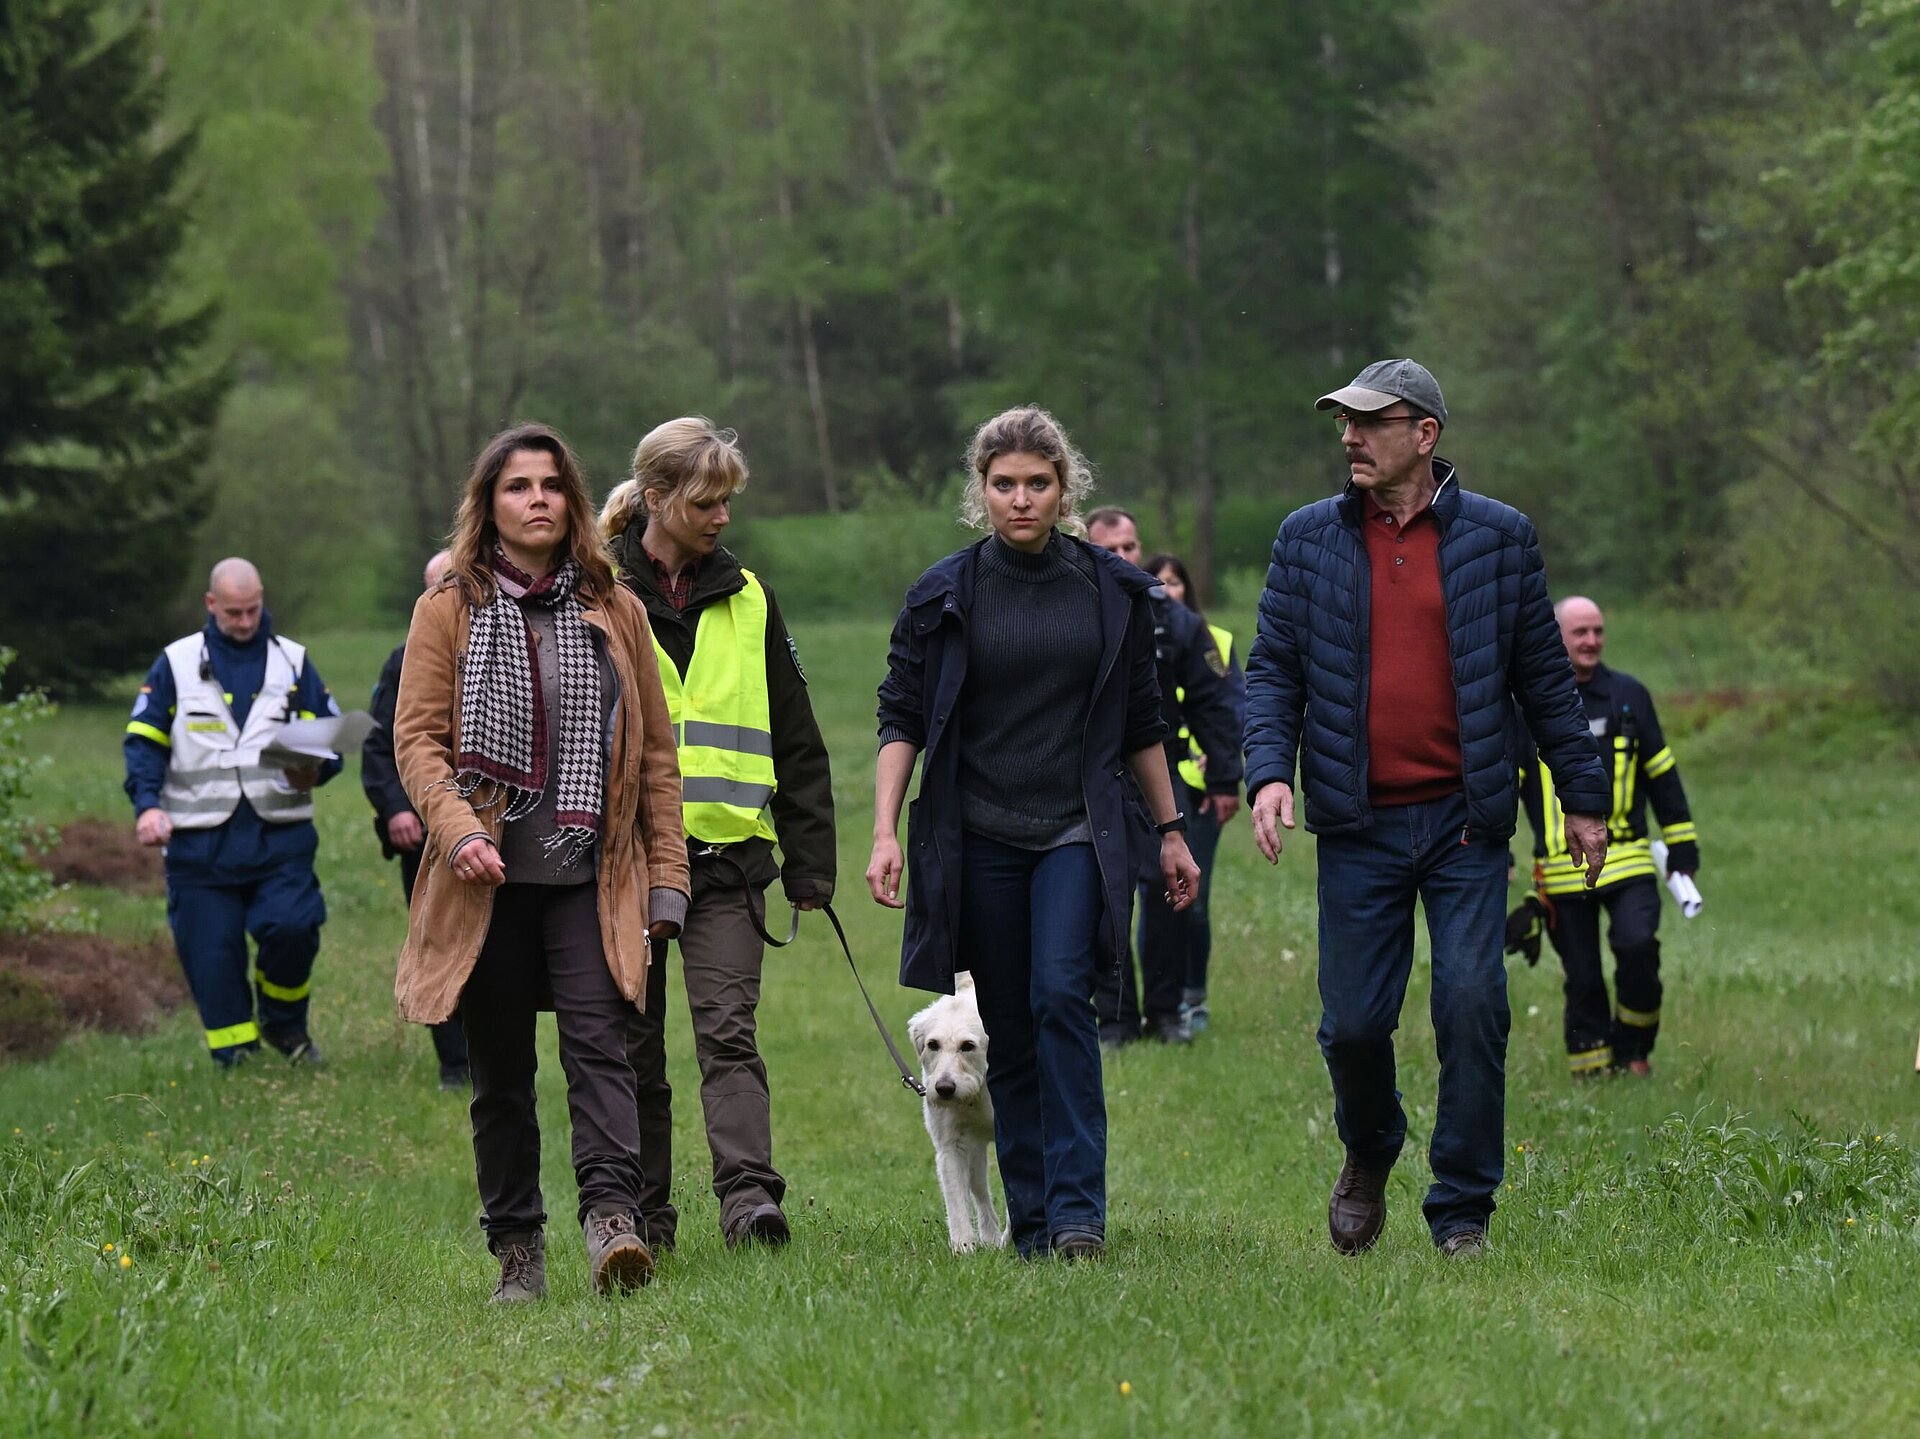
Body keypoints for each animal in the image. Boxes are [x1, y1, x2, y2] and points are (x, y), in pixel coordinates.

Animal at [910, 972, 1013, 1252]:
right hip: (975, 1155)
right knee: (981, 1193)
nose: (944, 1088)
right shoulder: (950, 1148)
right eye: (933, 1045)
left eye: (968, 1046)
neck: (978, 1092)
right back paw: (990, 1237)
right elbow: (956, 1202)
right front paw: (963, 1248)